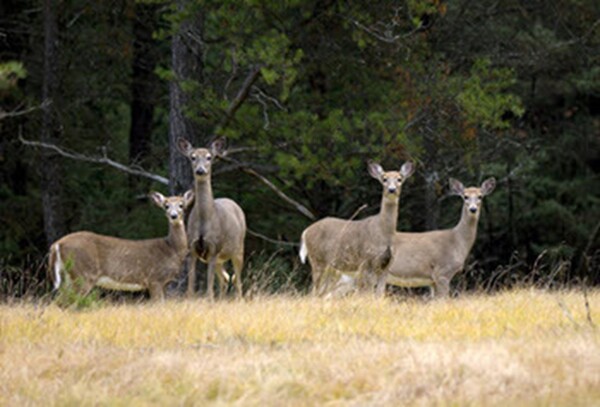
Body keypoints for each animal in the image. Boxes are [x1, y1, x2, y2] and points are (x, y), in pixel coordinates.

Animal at [49, 190, 195, 300]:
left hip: (67, 276)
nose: (173, 216)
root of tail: (57, 244)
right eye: (166, 205)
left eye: (181, 205)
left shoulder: (163, 283)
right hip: (83, 274)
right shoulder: (154, 279)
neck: (171, 249)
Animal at [176, 137, 246, 300]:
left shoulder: (214, 248)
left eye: (209, 157)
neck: (204, 220)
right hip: (220, 258)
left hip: (238, 249)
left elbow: (209, 287)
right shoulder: (192, 249)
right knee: (225, 279)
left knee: (238, 281)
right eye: (192, 157)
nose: (200, 170)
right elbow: (191, 286)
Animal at [298, 161, 414, 298]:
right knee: (314, 292)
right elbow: (365, 292)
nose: (392, 189)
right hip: (317, 259)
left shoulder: (387, 265)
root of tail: (305, 232)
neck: (384, 233)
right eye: (384, 179)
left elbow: (379, 294)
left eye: (399, 179)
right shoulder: (366, 259)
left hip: (330, 267)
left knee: (321, 292)